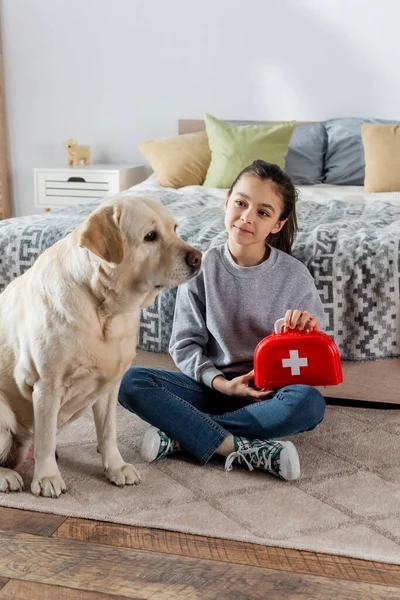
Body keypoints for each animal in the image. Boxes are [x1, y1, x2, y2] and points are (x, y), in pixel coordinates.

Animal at [0, 193, 202, 496]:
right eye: (150, 236)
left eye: (175, 229)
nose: (198, 257)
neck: (105, 310)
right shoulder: (46, 384)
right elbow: (45, 438)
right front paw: (47, 477)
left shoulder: (109, 387)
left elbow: (108, 433)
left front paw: (115, 467)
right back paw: (7, 476)